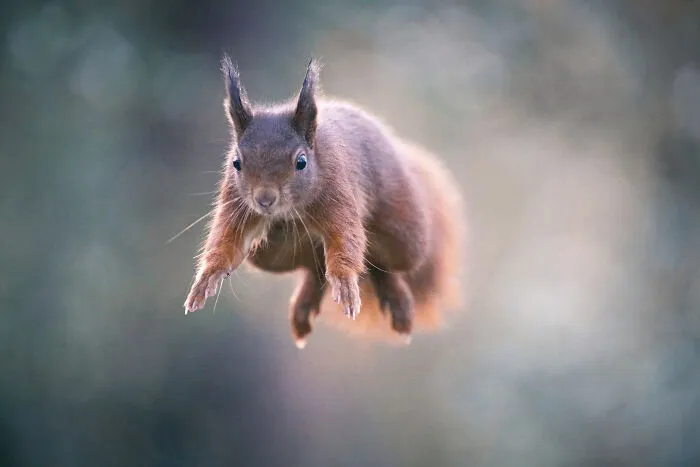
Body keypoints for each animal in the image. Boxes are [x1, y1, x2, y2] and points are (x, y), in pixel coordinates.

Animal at [184, 55, 465, 347]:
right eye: (236, 162)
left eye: (301, 162)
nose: (264, 199)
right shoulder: (236, 202)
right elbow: (227, 241)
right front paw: (206, 279)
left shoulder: (339, 192)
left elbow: (346, 241)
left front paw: (345, 282)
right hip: (272, 254)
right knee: (315, 268)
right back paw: (304, 308)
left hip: (405, 235)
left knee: (381, 264)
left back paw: (397, 303)